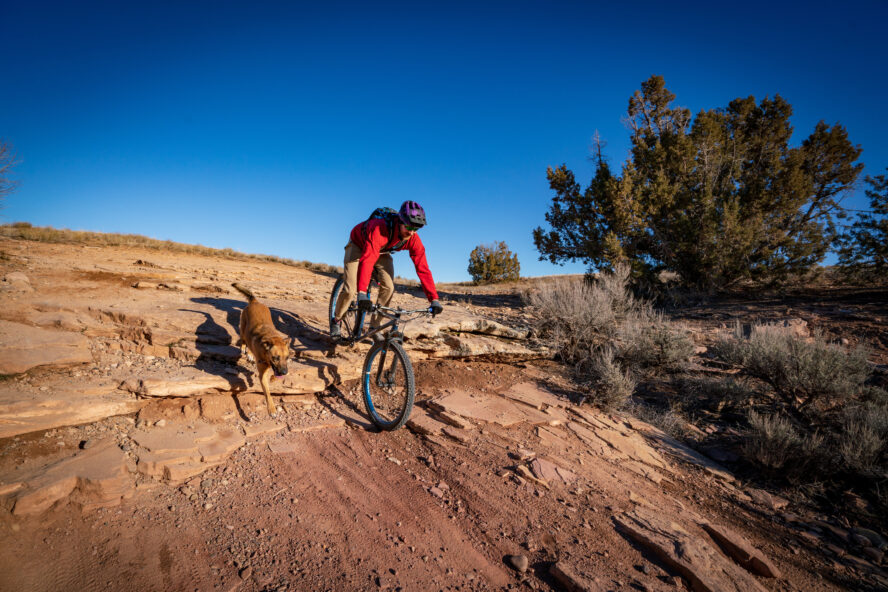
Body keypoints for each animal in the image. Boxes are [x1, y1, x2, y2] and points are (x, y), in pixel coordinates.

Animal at [231, 284, 290, 416]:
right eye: (275, 358)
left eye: (287, 357)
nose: (284, 373)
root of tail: (255, 301)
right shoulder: (262, 374)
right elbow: (267, 393)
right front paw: (272, 409)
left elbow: (275, 376)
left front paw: (273, 378)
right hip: (243, 328)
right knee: (243, 340)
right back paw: (246, 351)